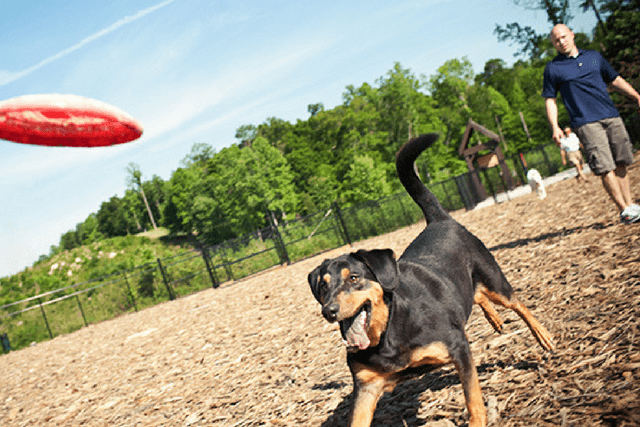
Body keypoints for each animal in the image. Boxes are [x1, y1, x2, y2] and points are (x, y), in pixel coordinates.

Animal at [308, 134, 552, 427]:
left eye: (354, 278)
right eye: (323, 286)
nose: (328, 311)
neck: (389, 329)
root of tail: (439, 219)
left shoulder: (458, 348)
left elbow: (473, 397)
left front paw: (477, 420)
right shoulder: (366, 387)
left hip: (494, 278)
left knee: (518, 304)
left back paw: (543, 336)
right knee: (476, 295)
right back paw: (494, 318)